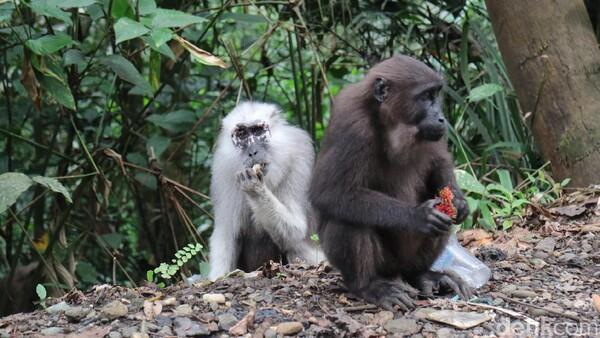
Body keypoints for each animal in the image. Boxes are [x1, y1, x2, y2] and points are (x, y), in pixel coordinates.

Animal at [210, 101, 324, 280]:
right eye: (242, 134)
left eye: (258, 131)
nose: (252, 152)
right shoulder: (222, 169)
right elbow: (227, 234)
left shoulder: (300, 155)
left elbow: (297, 230)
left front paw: (255, 189)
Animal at [310, 54, 474, 310]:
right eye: (426, 96)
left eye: (436, 94)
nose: (441, 118)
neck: (393, 124)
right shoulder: (353, 124)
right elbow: (330, 193)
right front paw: (417, 216)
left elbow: (439, 163)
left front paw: (458, 201)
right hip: (386, 264)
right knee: (348, 219)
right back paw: (367, 286)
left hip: (406, 261)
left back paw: (421, 274)